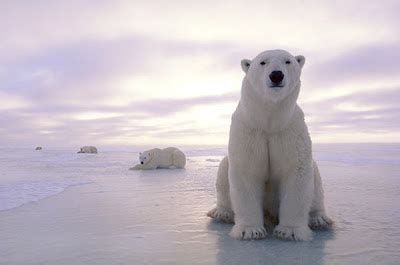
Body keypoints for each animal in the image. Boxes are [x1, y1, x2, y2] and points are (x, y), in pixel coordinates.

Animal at [206, 49, 332, 239]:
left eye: (288, 61)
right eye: (262, 62)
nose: (276, 75)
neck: (269, 123)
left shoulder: (289, 131)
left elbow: (295, 171)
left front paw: (290, 232)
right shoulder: (249, 131)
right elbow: (247, 171)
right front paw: (250, 230)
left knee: (315, 177)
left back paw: (319, 219)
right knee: (223, 169)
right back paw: (222, 213)